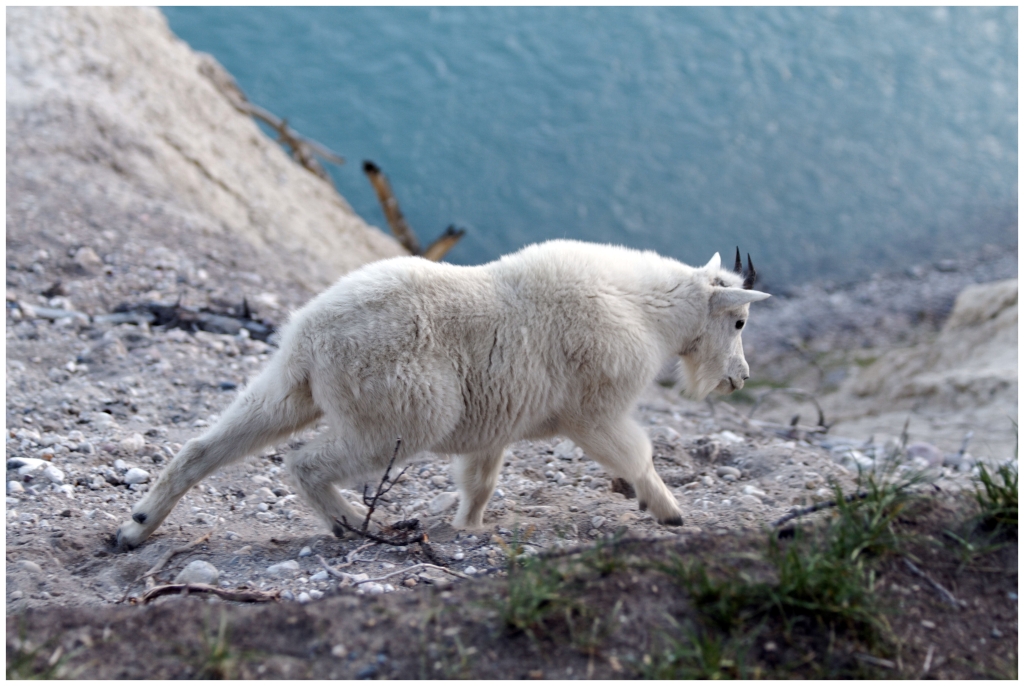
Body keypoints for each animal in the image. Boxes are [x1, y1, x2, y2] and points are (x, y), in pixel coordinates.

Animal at [117, 240, 769, 548]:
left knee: (206, 445)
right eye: (739, 322)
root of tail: (311, 338)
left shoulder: (499, 422)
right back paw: (357, 524)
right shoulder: (593, 411)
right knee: (304, 463)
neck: (645, 309)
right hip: (403, 416)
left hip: (290, 390)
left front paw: (468, 526)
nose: (738, 379)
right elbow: (637, 455)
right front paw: (669, 511)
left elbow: (480, 480)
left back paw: (136, 525)